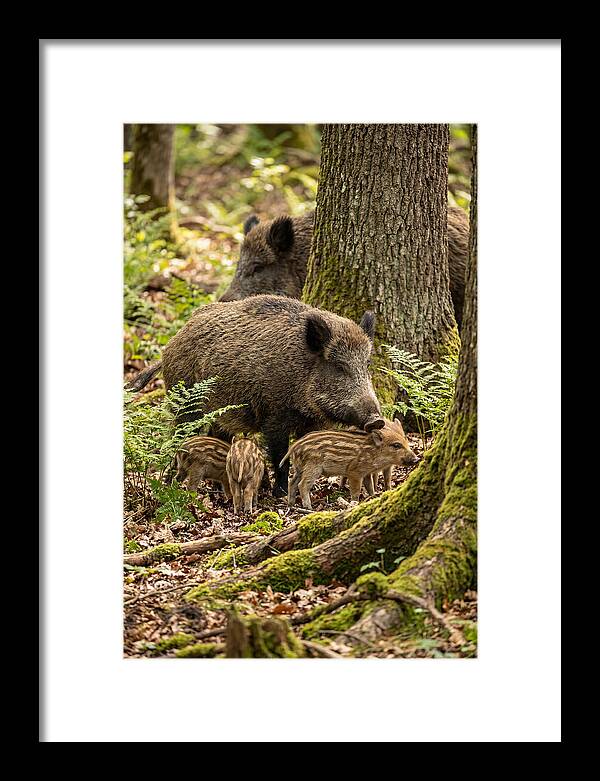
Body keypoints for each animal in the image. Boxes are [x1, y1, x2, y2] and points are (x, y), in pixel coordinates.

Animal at [128, 295, 384, 496]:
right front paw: (279, 494)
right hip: (186, 404)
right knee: (179, 437)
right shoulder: (274, 417)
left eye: (367, 364)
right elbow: (280, 456)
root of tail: (171, 344)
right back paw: (169, 483)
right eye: (339, 367)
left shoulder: (313, 423)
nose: (377, 420)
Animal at [281, 419, 419, 510]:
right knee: (302, 484)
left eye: (406, 441)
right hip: (312, 467)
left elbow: (369, 486)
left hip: (299, 468)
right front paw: (354, 503)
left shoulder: (366, 473)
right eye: (396, 445)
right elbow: (356, 490)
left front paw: (373, 497)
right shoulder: (354, 472)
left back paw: (291, 504)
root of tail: (294, 446)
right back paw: (309, 508)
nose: (416, 459)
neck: (373, 452)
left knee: (292, 482)